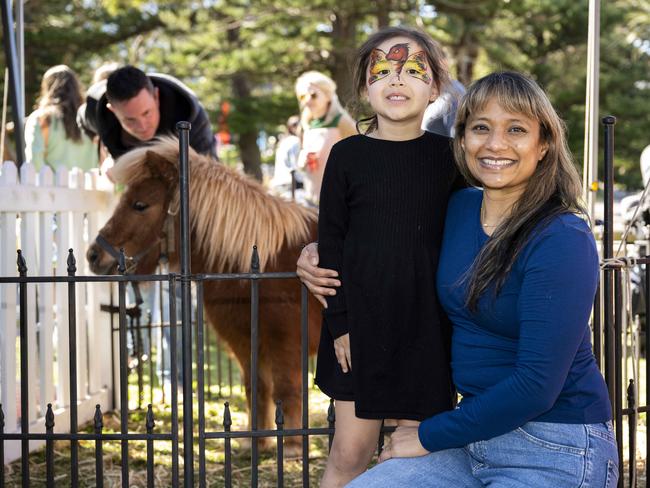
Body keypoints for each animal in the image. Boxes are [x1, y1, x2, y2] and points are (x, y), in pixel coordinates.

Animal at [86, 137, 318, 454]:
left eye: (140, 205)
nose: (93, 255)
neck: (259, 264)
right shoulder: (245, 343)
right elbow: (256, 388)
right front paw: (256, 442)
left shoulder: (286, 344)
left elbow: (287, 390)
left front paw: (292, 446)